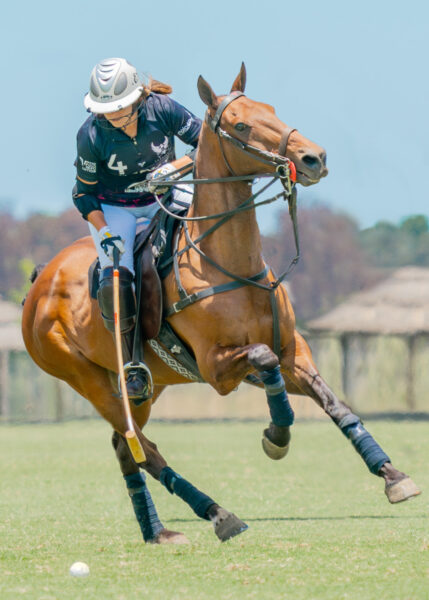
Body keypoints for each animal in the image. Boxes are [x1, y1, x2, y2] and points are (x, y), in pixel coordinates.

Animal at [21, 65, 420, 544]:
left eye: (271, 109)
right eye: (241, 125)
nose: (313, 158)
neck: (228, 262)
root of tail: (40, 281)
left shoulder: (293, 350)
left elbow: (334, 403)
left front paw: (393, 476)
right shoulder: (216, 368)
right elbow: (264, 362)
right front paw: (276, 437)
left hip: (143, 388)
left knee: (126, 446)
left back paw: (158, 530)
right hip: (87, 379)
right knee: (144, 448)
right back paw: (218, 513)